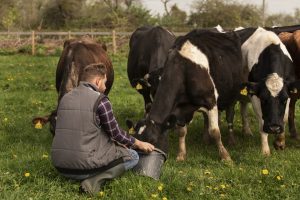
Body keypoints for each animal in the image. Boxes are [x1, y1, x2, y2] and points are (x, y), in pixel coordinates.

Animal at [128, 29, 244, 161]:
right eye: (137, 140)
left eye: (152, 140)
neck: (183, 68)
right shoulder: (180, 108)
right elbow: (182, 131)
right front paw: (181, 155)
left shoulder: (210, 101)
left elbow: (215, 131)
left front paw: (225, 156)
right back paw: (206, 139)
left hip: (232, 94)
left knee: (229, 115)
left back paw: (231, 140)